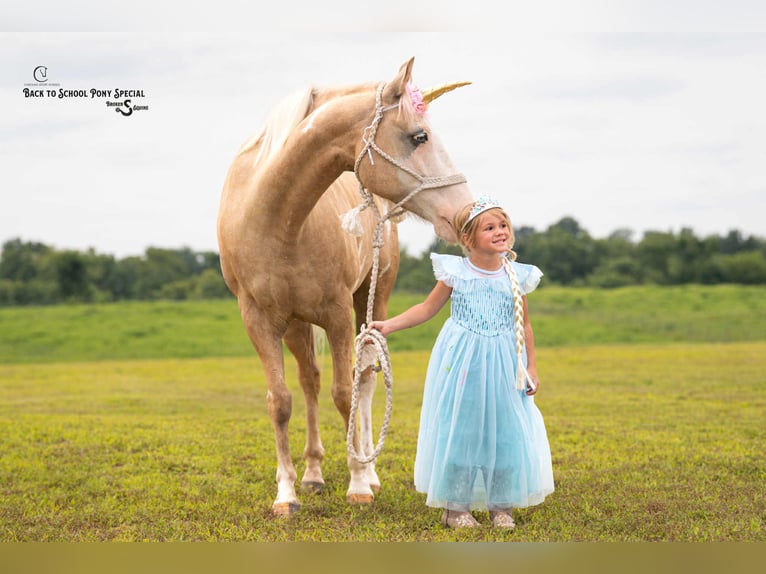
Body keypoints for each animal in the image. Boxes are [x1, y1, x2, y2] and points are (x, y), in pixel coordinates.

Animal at [217, 57, 473, 515]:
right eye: (419, 136)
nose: (464, 212)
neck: (275, 219)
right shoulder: (258, 321)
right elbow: (280, 401)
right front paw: (286, 494)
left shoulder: (336, 313)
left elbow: (345, 392)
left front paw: (358, 483)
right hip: (296, 323)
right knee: (309, 381)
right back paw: (314, 473)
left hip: (372, 300)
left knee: (366, 378)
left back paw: (368, 472)